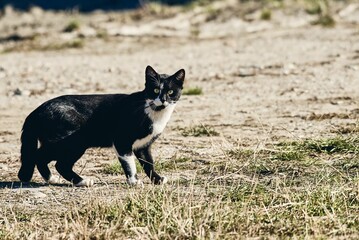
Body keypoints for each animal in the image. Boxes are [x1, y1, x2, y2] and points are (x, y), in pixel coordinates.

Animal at [17, 66, 186, 188]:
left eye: (171, 92)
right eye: (156, 90)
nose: (163, 100)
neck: (154, 113)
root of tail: (36, 111)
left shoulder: (143, 145)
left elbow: (148, 163)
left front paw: (157, 179)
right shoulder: (121, 140)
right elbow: (130, 163)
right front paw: (134, 181)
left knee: (54, 162)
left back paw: (56, 180)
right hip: (72, 141)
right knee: (46, 158)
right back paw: (78, 181)